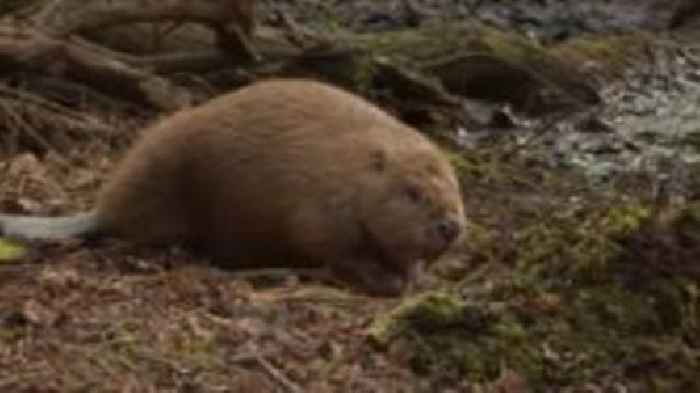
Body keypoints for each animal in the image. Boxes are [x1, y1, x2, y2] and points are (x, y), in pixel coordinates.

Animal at [1, 78, 470, 296]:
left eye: (455, 187)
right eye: (412, 193)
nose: (450, 226)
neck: (353, 171)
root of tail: (101, 209)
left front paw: (415, 277)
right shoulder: (320, 207)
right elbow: (331, 248)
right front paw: (387, 281)